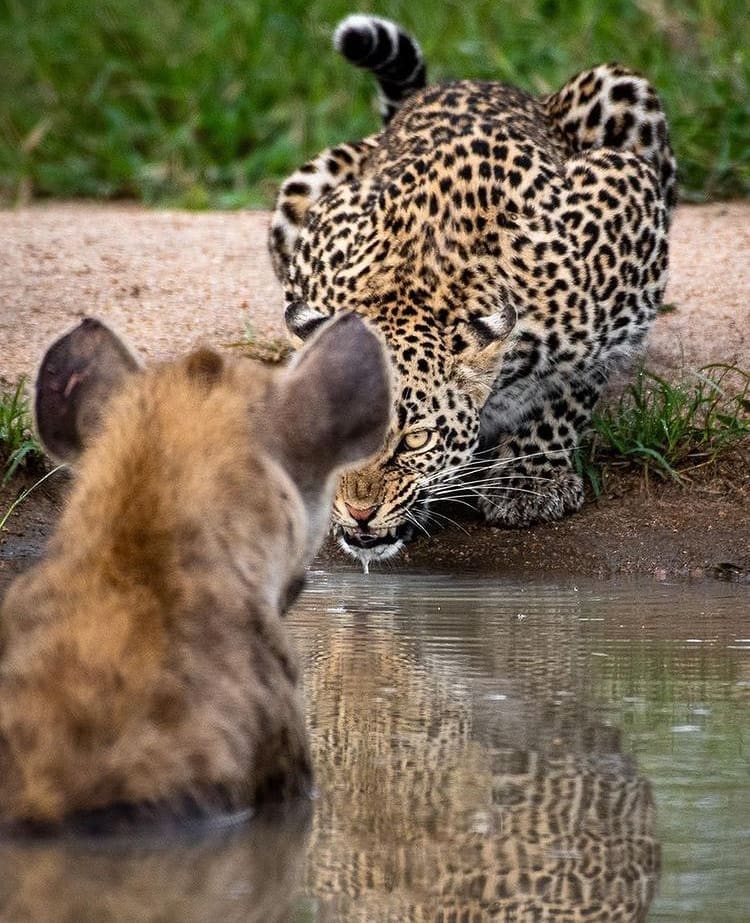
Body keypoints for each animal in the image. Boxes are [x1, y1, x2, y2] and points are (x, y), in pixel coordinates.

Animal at [270, 13, 676, 571]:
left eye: (415, 439)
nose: (358, 513)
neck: (412, 286)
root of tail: (465, 82)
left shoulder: (625, 211)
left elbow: (577, 384)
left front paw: (530, 477)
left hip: (623, 90)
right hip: (300, 191)